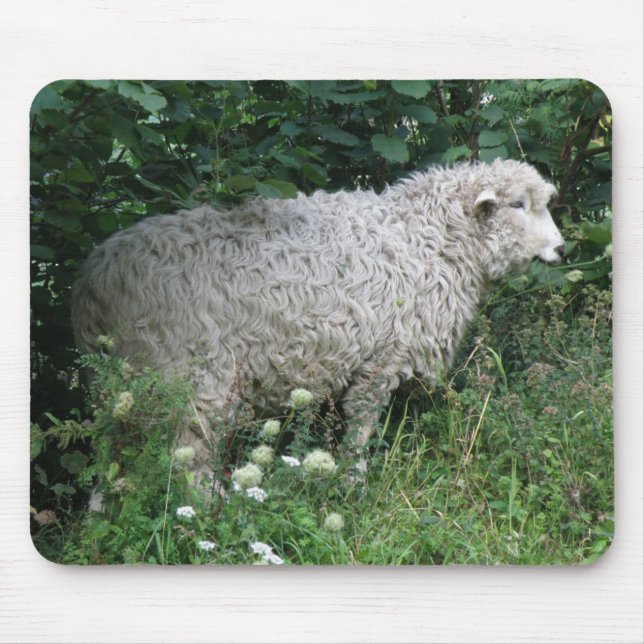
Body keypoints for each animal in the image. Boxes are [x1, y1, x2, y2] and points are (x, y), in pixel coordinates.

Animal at [72, 159, 564, 480]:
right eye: (518, 204)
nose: (561, 249)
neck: (427, 239)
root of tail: (94, 281)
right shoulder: (381, 360)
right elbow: (360, 431)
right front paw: (353, 485)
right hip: (192, 376)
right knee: (190, 459)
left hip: (117, 387)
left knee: (107, 457)